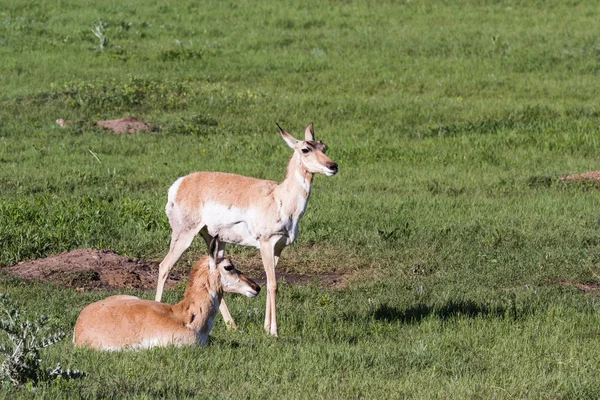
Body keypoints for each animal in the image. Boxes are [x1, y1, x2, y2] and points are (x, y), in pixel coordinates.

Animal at [156, 123, 338, 336]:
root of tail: (180, 183)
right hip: (184, 235)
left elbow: (268, 282)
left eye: (324, 147)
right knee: (164, 266)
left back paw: (232, 325)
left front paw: (266, 328)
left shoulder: (278, 248)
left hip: (215, 240)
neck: (279, 198)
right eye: (305, 149)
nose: (333, 166)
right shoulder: (266, 244)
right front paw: (274, 331)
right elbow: (274, 284)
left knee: (213, 269)